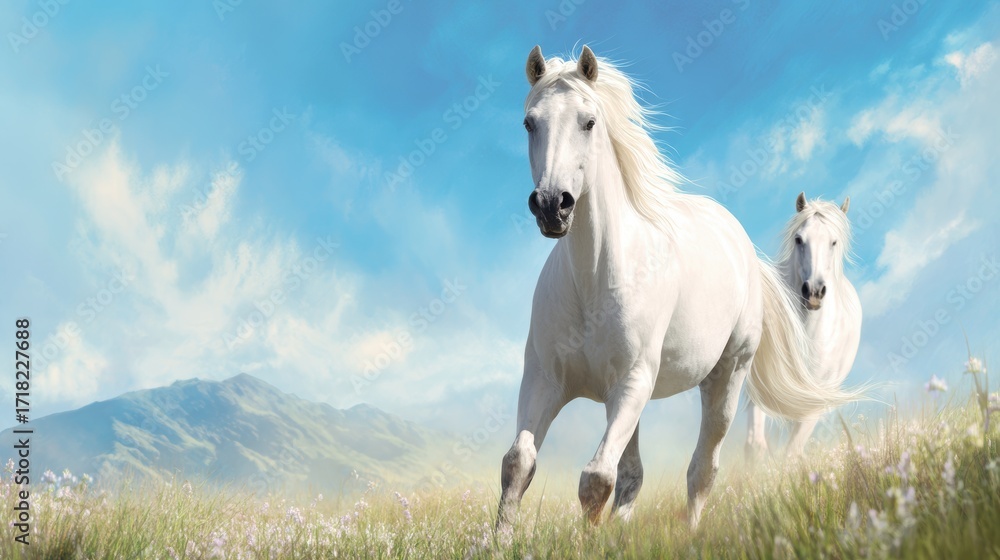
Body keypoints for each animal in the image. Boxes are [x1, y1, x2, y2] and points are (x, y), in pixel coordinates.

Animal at [745, 193, 863, 460]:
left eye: (833, 242)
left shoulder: (813, 401)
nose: (814, 293)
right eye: (799, 239)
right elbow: (755, 444)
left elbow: (791, 452)